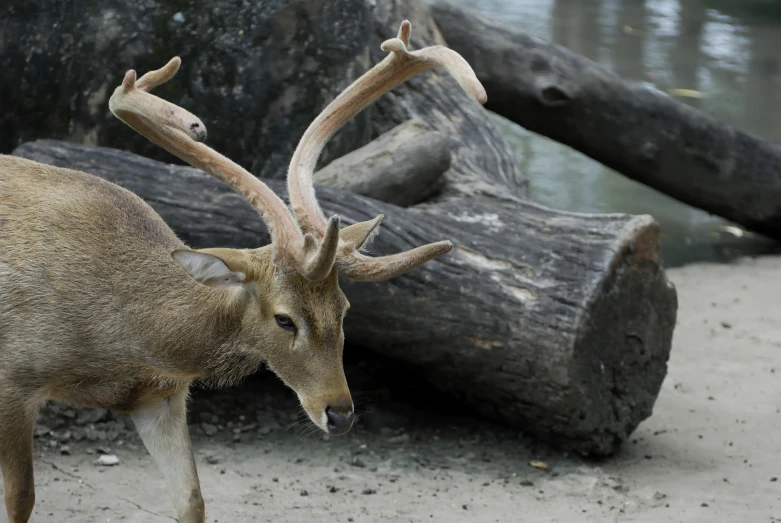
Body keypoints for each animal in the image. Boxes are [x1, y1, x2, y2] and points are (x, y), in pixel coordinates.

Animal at [0, 20, 484, 523]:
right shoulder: (13, 378)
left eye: (345, 309)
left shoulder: (162, 397)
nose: (340, 414)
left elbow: (192, 500)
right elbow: (20, 499)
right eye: (284, 318)